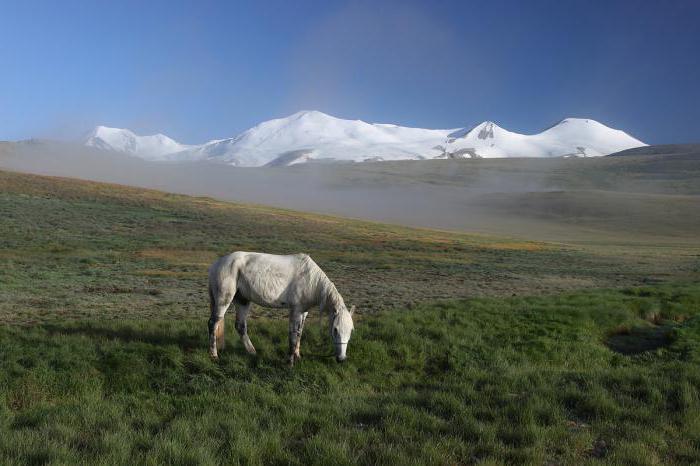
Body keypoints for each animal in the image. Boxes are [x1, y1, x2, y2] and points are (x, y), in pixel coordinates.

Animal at [205, 251, 352, 364]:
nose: (341, 359)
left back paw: (252, 352)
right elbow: (293, 335)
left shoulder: (304, 312)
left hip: (242, 301)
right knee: (213, 324)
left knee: (240, 326)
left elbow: (299, 333)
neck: (311, 279)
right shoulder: (296, 310)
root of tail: (217, 264)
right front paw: (290, 361)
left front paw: (297, 355)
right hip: (223, 300)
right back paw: (214, 355)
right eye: (335, 330)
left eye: (351, 331)